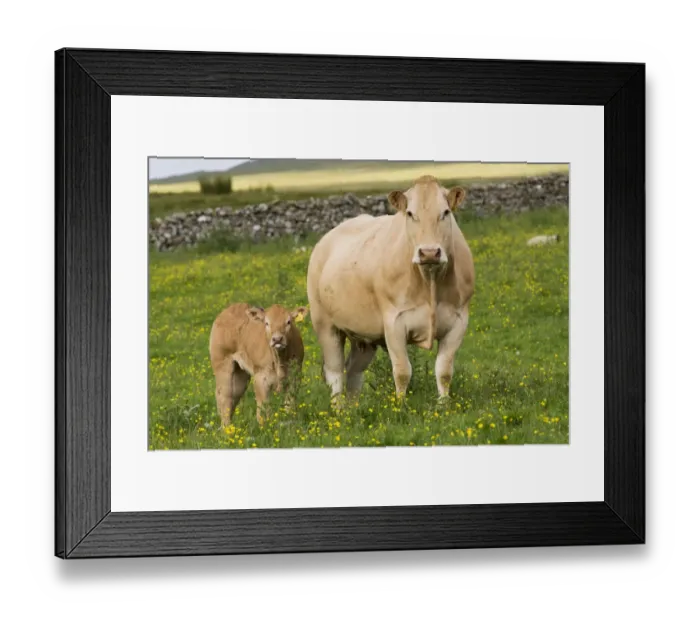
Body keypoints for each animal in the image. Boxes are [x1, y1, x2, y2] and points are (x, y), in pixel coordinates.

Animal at [306, 175, 475, 403]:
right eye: (410, 214)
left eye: (446, 212)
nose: (429, 253)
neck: (429, 280)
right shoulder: (394, 322)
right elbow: (402, 371)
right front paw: (400, 406)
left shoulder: (458, 322)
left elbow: (444, 371)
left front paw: (444, 405)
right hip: (324, 324)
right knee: (335, 373)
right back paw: (339, 408)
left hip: (363, 334)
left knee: (353, 371)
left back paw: (353, 408)